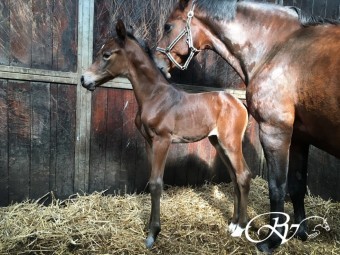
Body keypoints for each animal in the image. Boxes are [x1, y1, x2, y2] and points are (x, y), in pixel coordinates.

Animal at [81, 20, 251, 249]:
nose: (84, 79)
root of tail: (240, 105)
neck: (155, 96)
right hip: (218, 142)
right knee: (234, 177)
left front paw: (153, 233)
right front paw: (149, 227)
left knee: (243, 175)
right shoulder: (149, 141)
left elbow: (156, 183)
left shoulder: (163, 140)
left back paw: (240, 228)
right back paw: (232, 223)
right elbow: (151, 180)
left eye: (106, 54)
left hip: (230, 143)